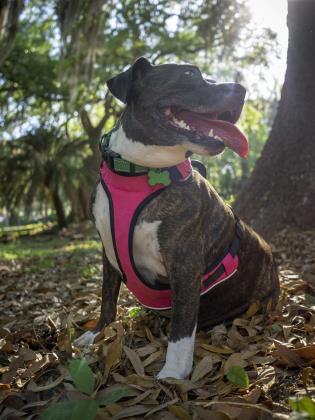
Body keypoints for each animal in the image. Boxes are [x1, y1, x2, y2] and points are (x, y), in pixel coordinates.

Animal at [74, 56, 282, 380]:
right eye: (188, 75)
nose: (241, 89)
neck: (139, 171)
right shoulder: (107, 253)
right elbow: (107, 299)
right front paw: (97, 334)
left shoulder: (185, 265)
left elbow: (182, 328)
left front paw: (173, 373)